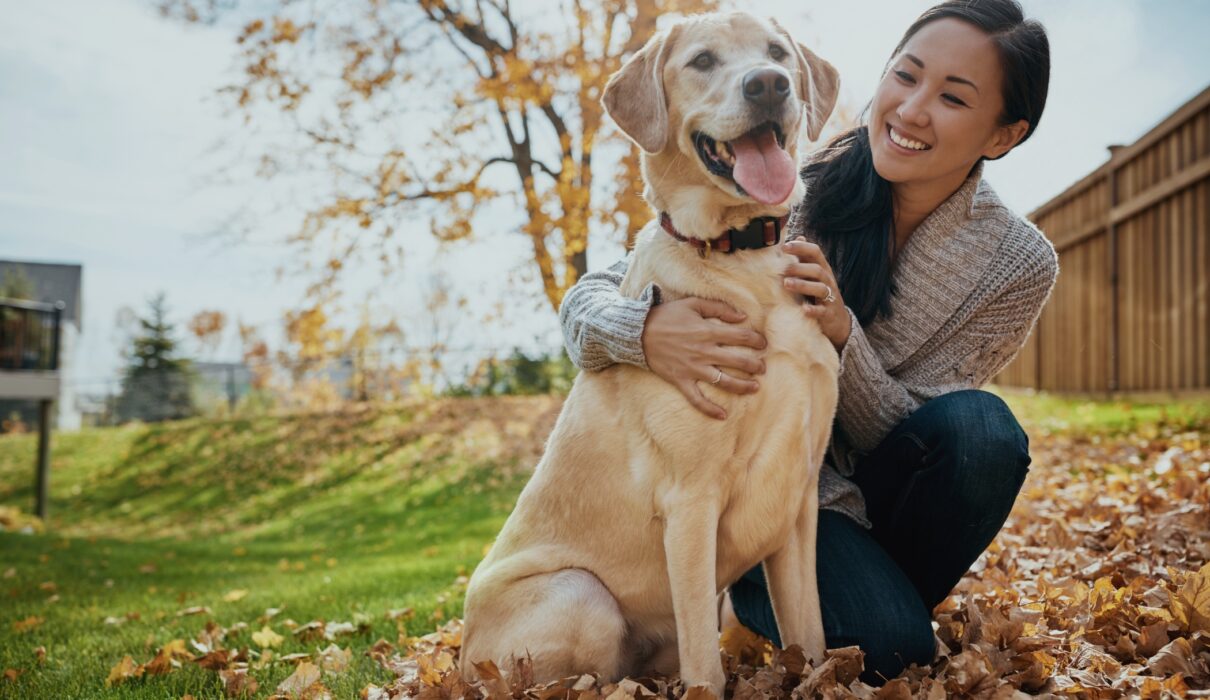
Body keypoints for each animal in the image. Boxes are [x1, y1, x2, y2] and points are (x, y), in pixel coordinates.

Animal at [462, 12, 842, 696]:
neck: (744, 255)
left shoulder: (798, 501)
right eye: (703, 61)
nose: (769, 84)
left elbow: (813, 637)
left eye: (777, 53)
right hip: (581, 595)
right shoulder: (690, 501)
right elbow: (705, 667)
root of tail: (457, 659)